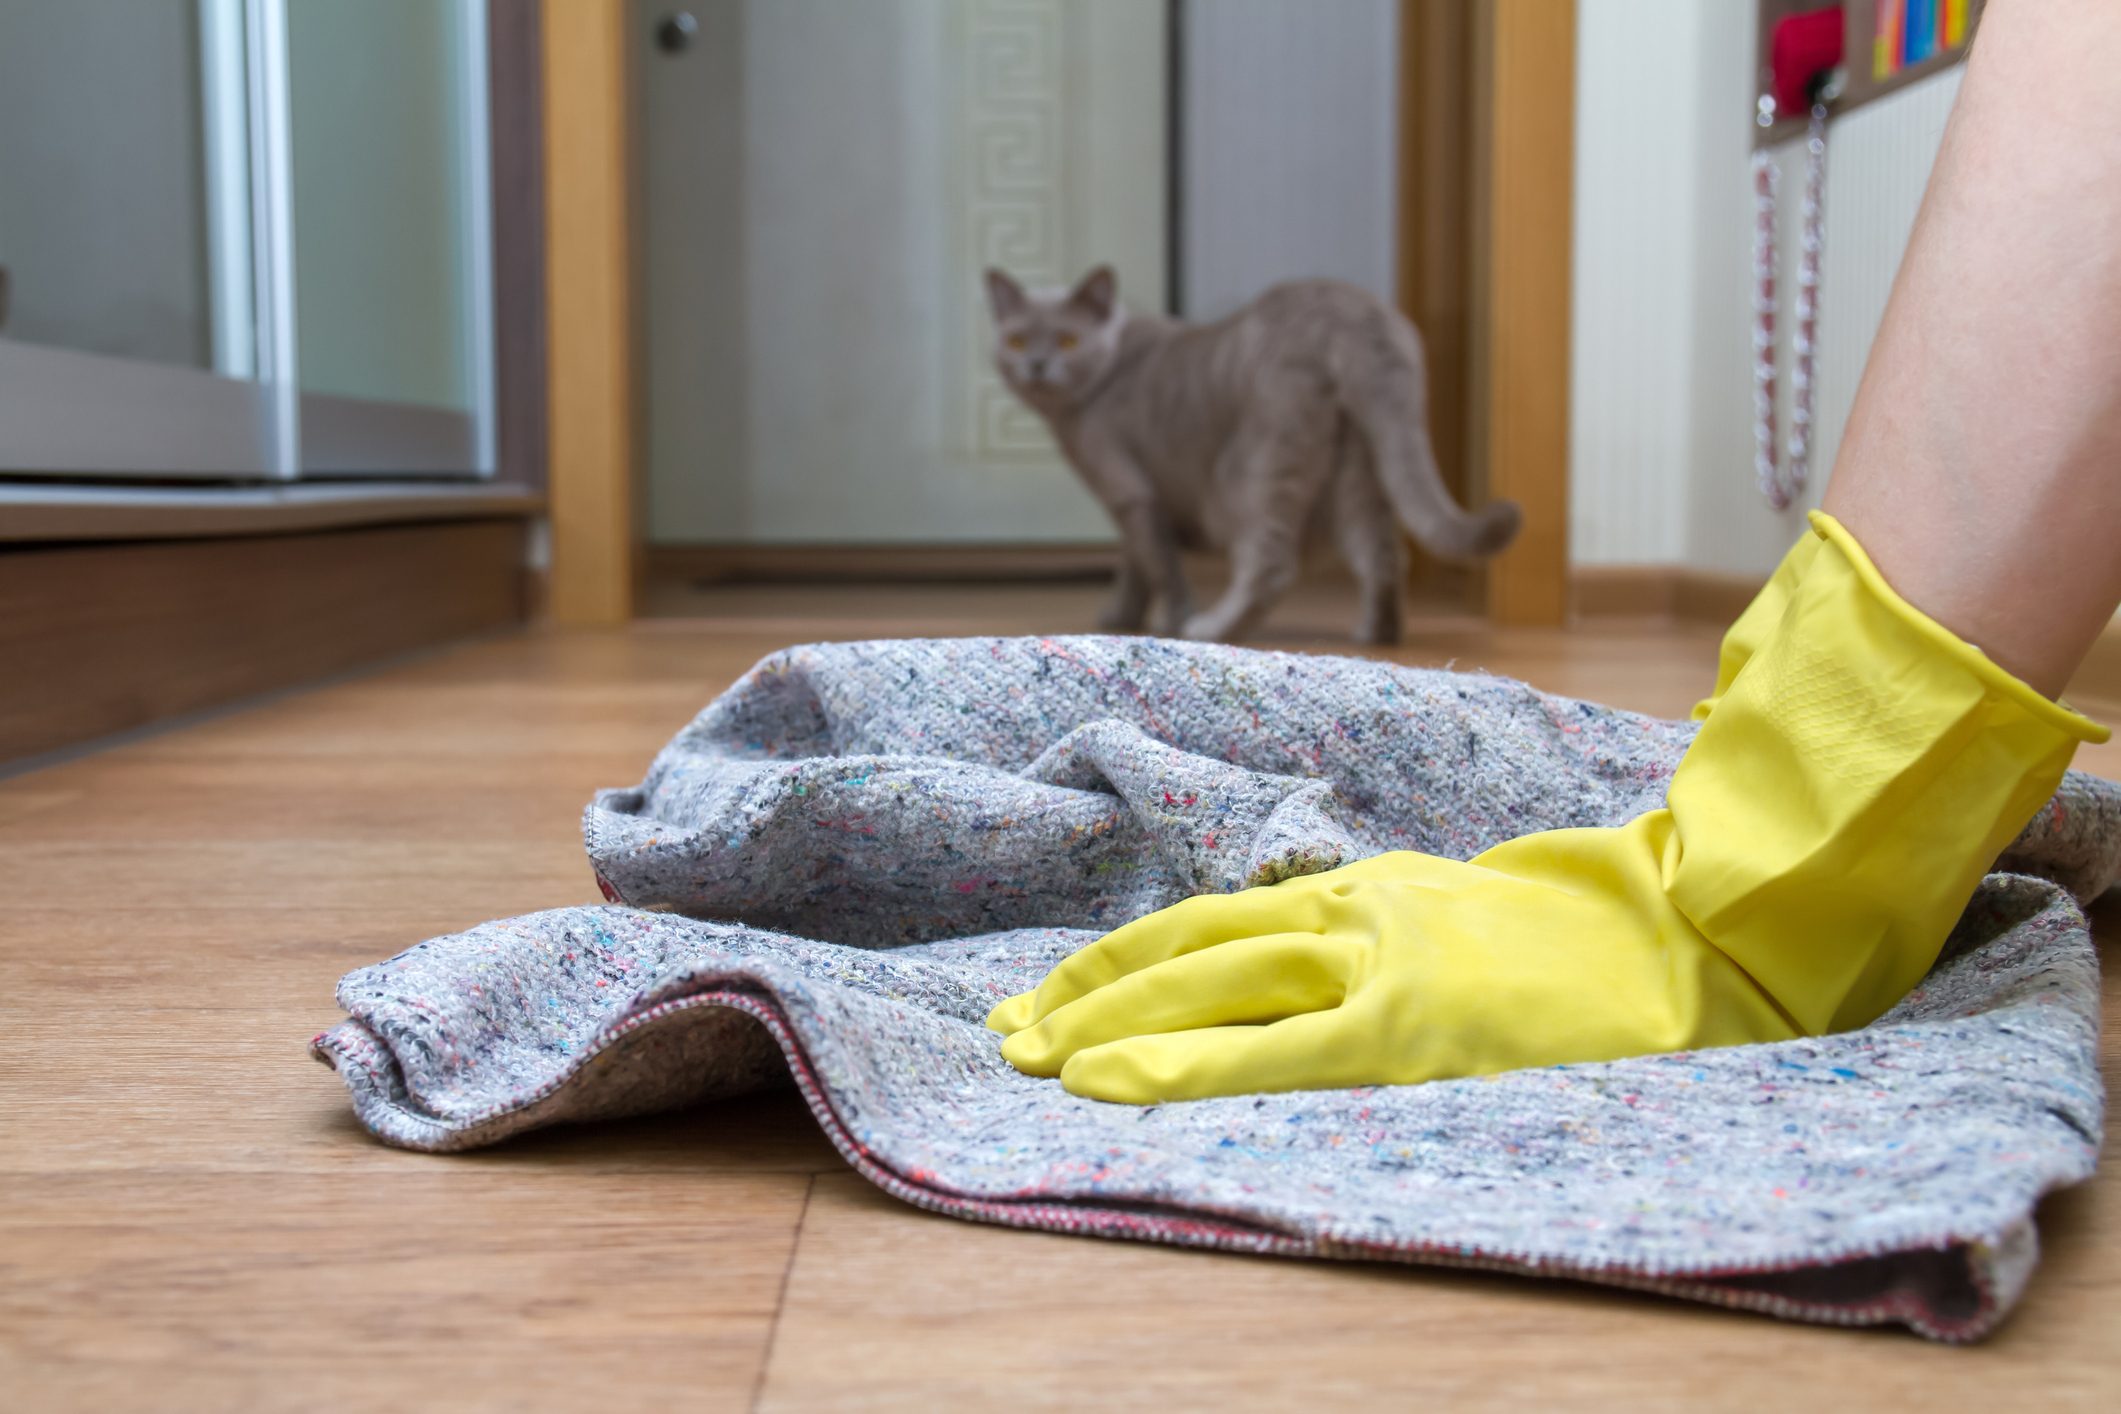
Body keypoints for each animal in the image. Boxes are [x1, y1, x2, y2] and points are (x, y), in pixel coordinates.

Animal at [984, 262, 1518, 644]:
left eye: (1068, 339)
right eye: (1017, 340)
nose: (1036, 364)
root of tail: (1358, 317)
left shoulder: (1130, 491)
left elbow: (1158, 566)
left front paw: (1170, 621)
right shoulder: (1146, 499)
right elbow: (1135, 564)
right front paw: (1121, 615)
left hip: (1260, 467)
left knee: (1271, 565)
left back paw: (1212, 628)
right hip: (1360, 470)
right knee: (1383, 557)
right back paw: (1376, 633)